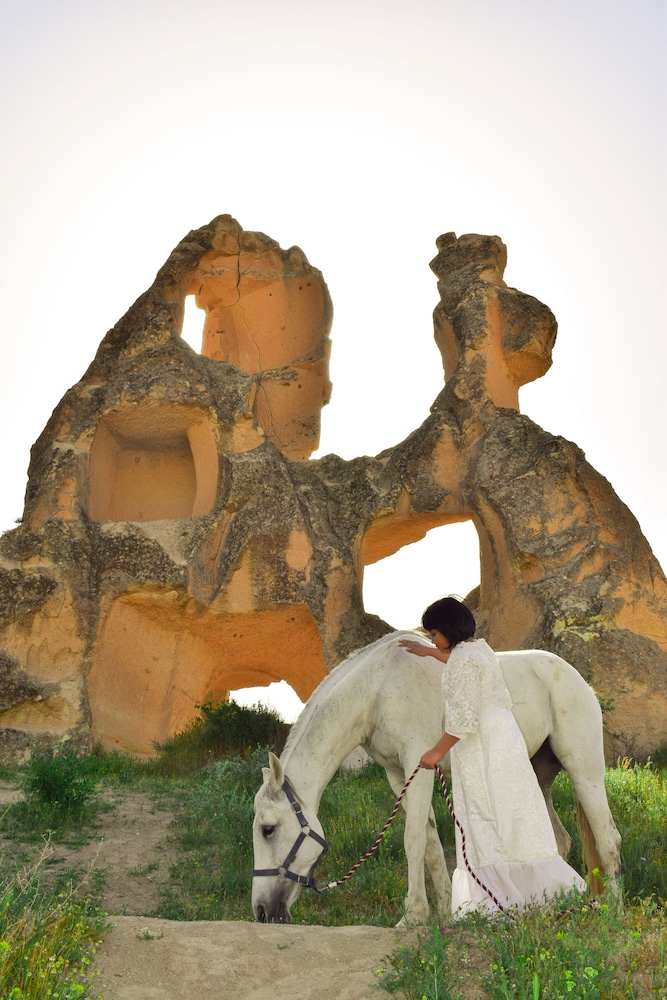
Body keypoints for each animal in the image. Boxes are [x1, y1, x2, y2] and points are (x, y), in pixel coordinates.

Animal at [253, 636, 624, 924]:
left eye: (268, 829)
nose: (261, 911)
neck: (378, 690)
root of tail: (579, 681)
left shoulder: (420, 767)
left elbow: (413, 841)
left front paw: (413, 916)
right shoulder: (398, 776)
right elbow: (430, 846)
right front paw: (446, 911)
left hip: (585, 769)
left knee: (607, 837)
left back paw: (614, 911)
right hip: (537, 778)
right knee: (559, 841)